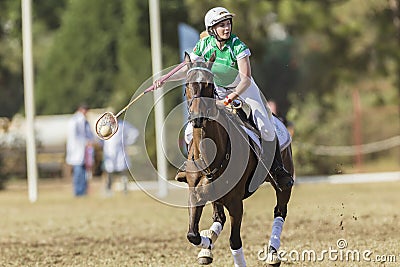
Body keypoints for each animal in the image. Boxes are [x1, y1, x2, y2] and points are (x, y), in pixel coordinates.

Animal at [178, 52, 294, 267]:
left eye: (209, 84)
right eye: (187, 84)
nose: (197, 117)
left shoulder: (235, 202)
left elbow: (234, 241)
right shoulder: (196, 195)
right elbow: (193, 235)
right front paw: (207, 243)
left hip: (285, 183)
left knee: (280, 210)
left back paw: (272, 253)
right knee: (218, 218)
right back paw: (208, 245)